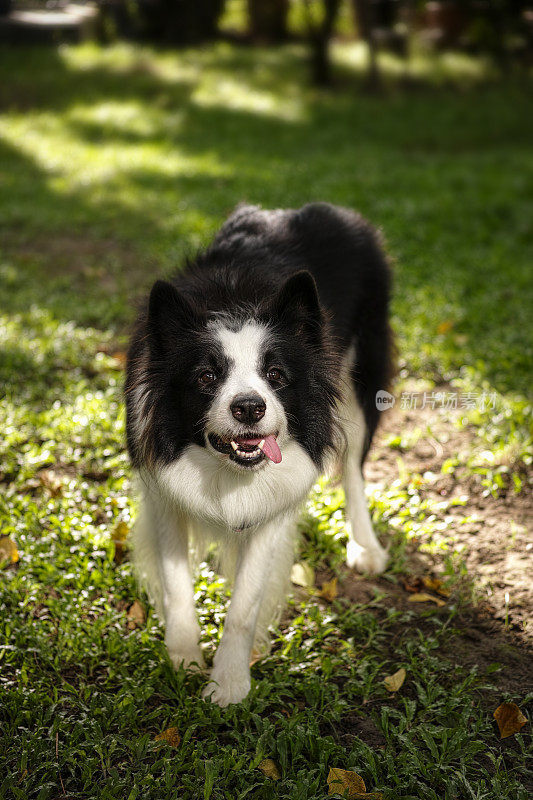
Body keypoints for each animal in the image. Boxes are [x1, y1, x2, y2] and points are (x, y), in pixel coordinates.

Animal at [124, 205, 390, 708]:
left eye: (276, 374)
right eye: (206, 376)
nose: (249, 407)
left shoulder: (275, 502)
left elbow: (246, 601)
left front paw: (228, 683)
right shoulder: (163, 490)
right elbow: (175, 581)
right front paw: (184, 659)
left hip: (359, 376)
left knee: (352, 465)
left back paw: (365, 545)